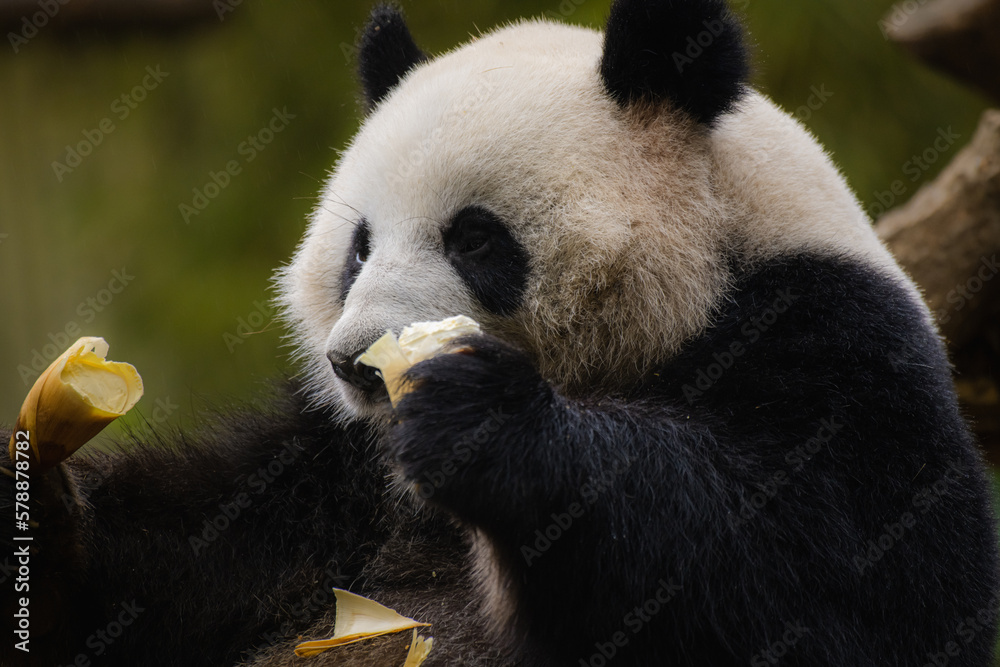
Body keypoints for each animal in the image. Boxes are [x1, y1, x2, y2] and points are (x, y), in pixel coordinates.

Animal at [3, 0, 999, 665]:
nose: (355, 364)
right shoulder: (333, 469)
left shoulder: (834, 342)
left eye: (474, 237)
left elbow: (842, 589)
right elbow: (164, 567)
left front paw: (483, 423)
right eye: (359, 246)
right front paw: (45, 509)